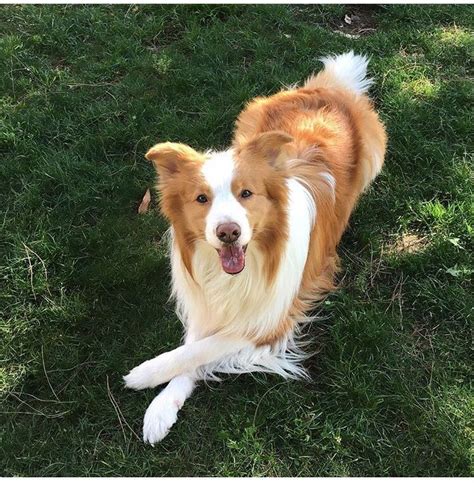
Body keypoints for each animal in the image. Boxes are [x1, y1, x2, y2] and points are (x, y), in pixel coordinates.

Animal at [124, 51, 386, 444]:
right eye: (201, 199)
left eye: (246, 193)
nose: (228, 232)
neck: (244, 270)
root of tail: (330, 90)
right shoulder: (207, 302)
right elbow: (193, 346)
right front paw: (163, 406)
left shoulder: (272, 321)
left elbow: (203, 348)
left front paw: (145, 373)